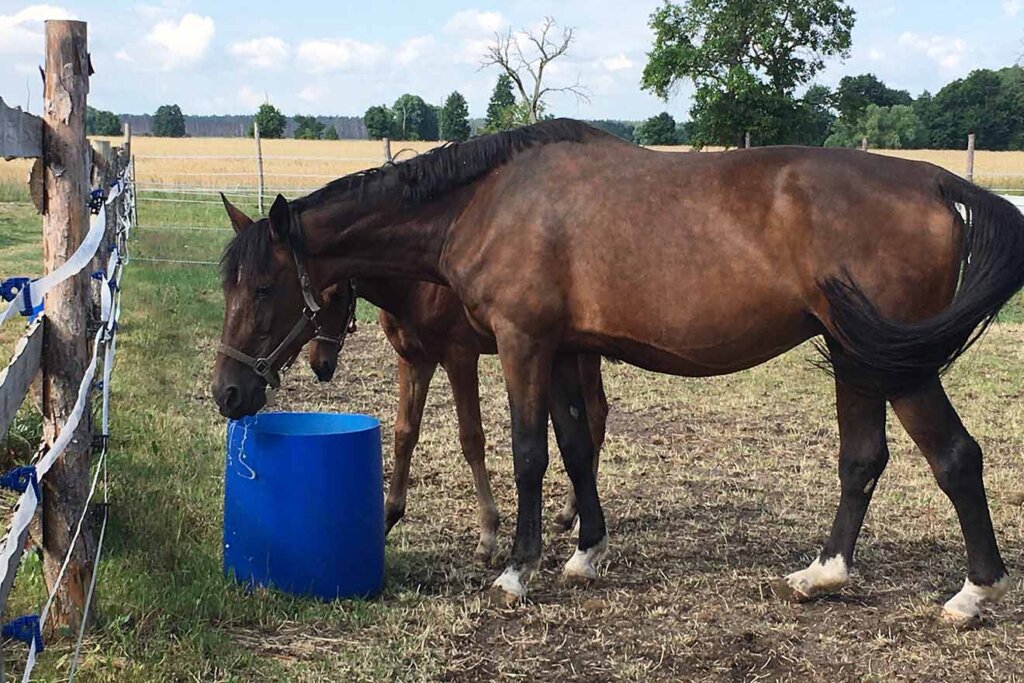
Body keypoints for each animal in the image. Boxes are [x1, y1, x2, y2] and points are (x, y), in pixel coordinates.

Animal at [213, 119, 1024, 622]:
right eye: (229, 287)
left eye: (265, 288)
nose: (228, 392)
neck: (487, 200)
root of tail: (936, 184)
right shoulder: (567, 348)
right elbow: (576, 445)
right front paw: (585, 552)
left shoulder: (522, 343)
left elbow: (529, 453)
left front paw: (517, 569)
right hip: (857, 357)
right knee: (862, 459)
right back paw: (823, 574)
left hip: (898, 364)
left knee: (956, 457)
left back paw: (971, 595)